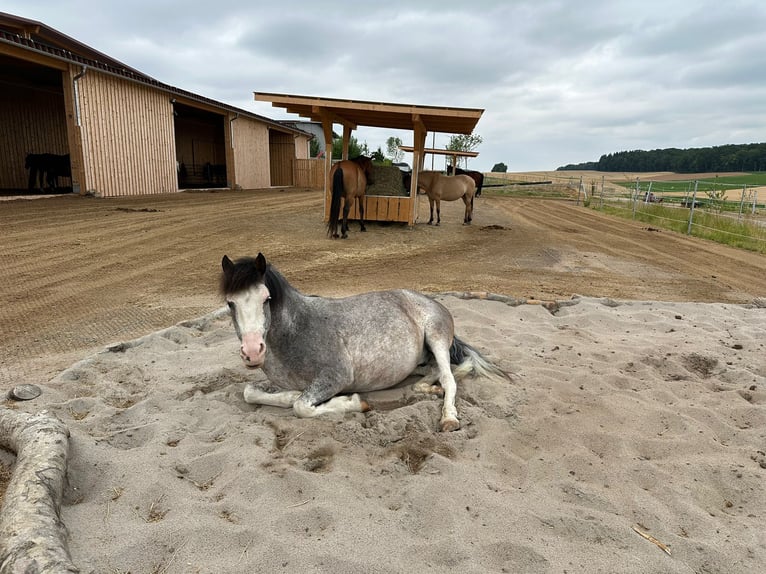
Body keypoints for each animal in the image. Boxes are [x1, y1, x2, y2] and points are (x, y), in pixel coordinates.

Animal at [220, 253, 508, 432]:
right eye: (230, 303)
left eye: (266, 299)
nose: (252, 352)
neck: (295, 331)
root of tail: (429, 300)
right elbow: (251, 393)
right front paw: (288, 394)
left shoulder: (336, 376)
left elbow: (301, 406)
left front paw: (355, 403)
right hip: (419, 361)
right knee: (434, 372)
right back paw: (427, 389)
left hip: (436, 337)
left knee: (449, 377)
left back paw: (449, 418)